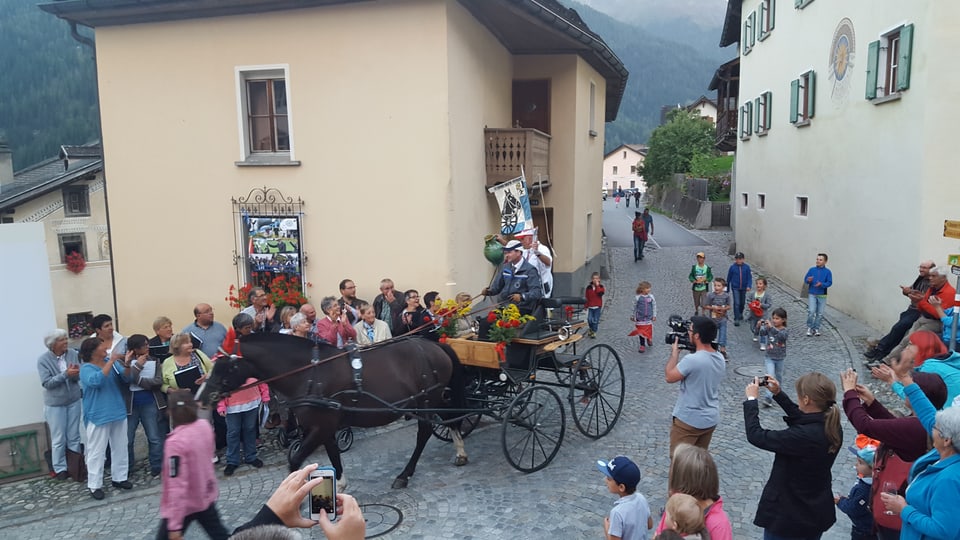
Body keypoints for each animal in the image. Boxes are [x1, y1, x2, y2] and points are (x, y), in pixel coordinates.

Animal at [197, 334, 466, 490]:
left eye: (225, 367)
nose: (201, 397)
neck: (309, 374)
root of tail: (435, 345)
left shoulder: (320, 428)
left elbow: (295, 461)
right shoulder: (325, 427)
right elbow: (333, 454)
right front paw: (340, 485)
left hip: (426, 400)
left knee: (425, 431)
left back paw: (405, 474)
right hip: (432, 400)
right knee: (450, 418)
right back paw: (460, 451)